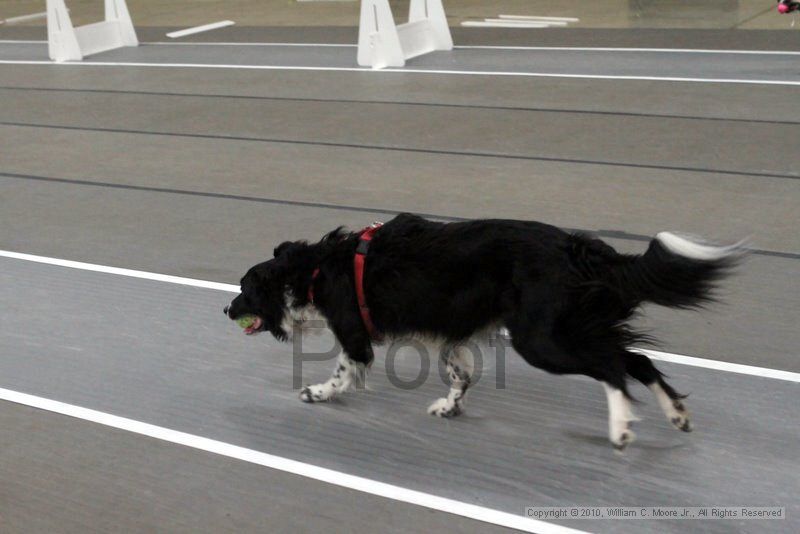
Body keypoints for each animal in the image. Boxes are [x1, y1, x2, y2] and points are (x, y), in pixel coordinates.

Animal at [220, 214, 744, 452]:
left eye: (244, 289)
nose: (225, 308)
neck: (310, 270)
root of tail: (576, 249)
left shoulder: (354, 333)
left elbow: (345, 370)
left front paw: (318, 393)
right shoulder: (453, 335)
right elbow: (461, 376)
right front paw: (449, 407)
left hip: (543, 340)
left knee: (614, 367)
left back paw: (621, 429)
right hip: (572, 326)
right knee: (636, 359)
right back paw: (676, 414)